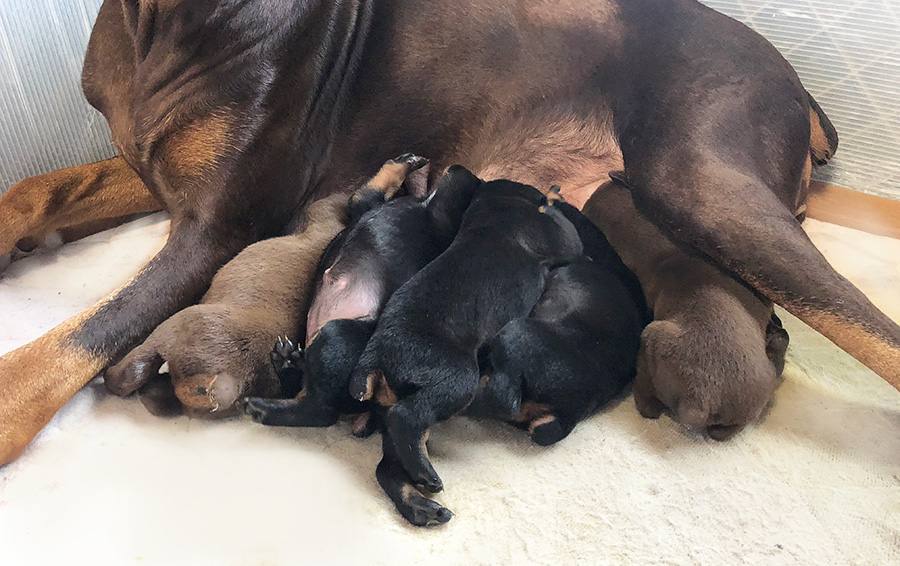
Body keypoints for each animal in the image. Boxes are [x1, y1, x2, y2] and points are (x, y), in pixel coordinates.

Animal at [239, 158, 478, 432]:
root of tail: (370, 407)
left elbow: (366, 193)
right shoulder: (371, 205)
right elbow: (369, 191)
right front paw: (406, 163)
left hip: (337, 335)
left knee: (320, 410)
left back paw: (262, 407)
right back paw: (286, 362)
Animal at [348, 170, 580, 528]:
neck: (494, 206)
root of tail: (375, 355)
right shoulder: (559, 236)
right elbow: (566, 230)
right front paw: (555, 194)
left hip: (393, 405)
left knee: (388, 466)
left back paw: (422, 504)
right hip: (456, 379)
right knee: (407, 418)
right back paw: (427, 478)